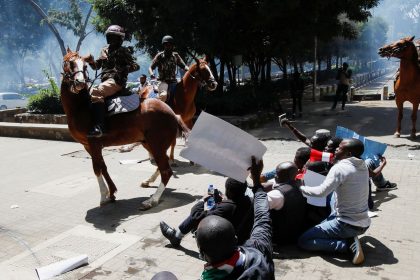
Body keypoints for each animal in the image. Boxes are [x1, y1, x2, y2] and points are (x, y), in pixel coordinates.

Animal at [60, 48, 189, 210]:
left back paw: (152, 200)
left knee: (166, 171)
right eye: (70, 63)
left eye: (84, 66)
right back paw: (148, 182)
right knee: (162, 166)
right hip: (149, 143)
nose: (80, 83)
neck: (81, 107)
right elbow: (103, 167)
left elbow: (97, 168)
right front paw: (111, 193)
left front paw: (103, 196)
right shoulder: (88, 146)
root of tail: (172, 113)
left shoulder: (93, 143)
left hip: (157, 144)